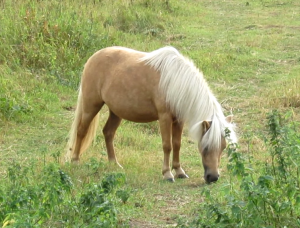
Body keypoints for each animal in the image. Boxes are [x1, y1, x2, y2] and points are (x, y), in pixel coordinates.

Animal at [65, 45, 237, 183]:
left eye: (223, 147)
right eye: (206, 147)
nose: (213, 177)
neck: (176, 82)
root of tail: (92, 58)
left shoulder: (179, 119)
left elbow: (177, 144)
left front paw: (179, 171)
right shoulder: (164, 117)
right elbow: (167, 145)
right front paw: (167, 174)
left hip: (116, 112)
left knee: (108, 133)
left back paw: (114, 163)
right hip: (91, 106)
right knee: (81, 131)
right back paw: (75, 161)